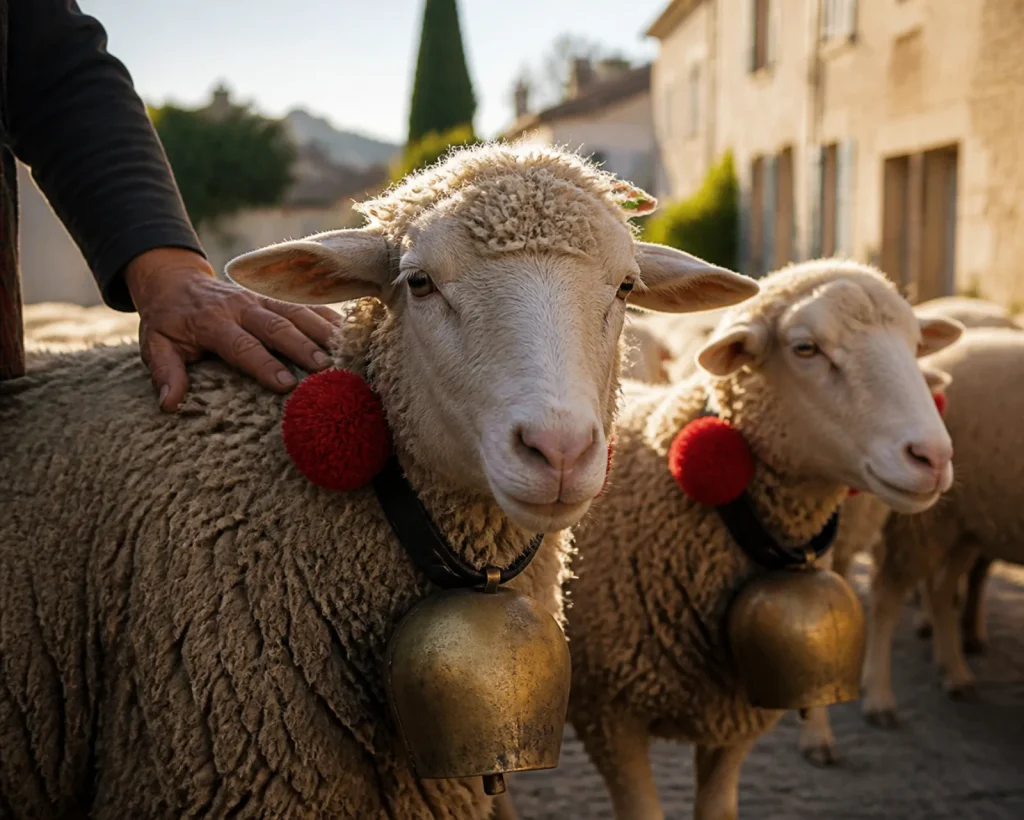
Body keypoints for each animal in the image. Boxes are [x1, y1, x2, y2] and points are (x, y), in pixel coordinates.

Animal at [860, 327, 1024, 726]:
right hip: (925, 522)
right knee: (886, 598)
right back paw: (879, 698)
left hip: (967, 524)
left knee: (940, 591)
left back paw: (956, 673)